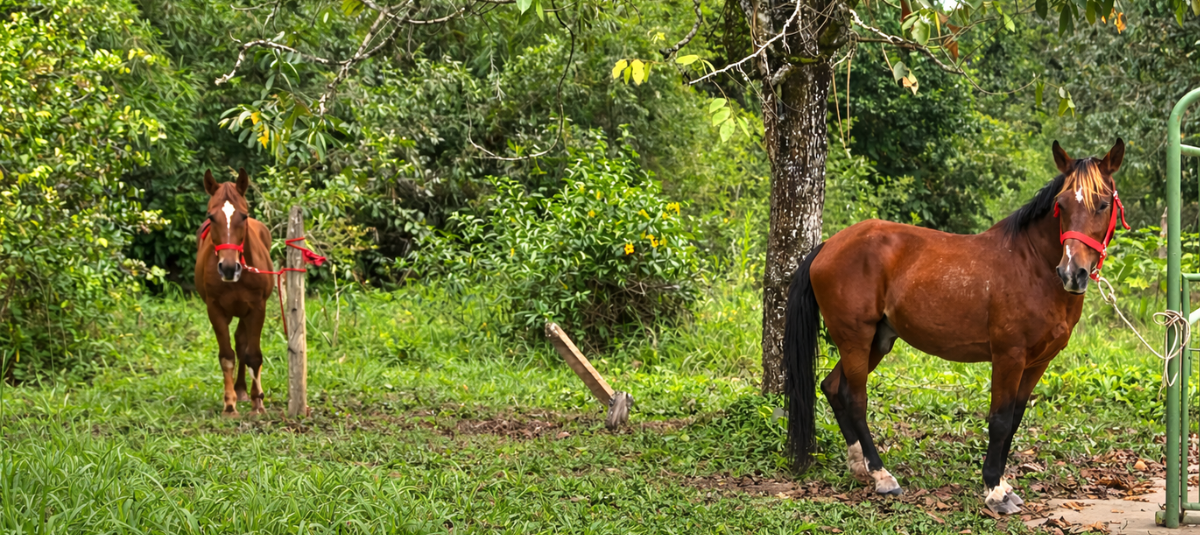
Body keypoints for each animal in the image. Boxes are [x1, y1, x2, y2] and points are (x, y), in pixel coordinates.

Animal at [195, 168, 274, 416]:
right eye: (211, 217)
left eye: (244, 216)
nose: (229, 268)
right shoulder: (215, 310)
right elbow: (227, 356)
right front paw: (229, 404)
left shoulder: (257, 308)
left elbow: (253, 355)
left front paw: (258, 402)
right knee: (238, 345)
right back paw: (238, 391)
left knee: (243, 345)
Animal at [783, 139, 1128, 514]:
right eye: (1060, 205)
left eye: (1103, 204)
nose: (1071, 272)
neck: (1031, 265)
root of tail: (828, 246)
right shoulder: (1008, 357)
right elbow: (1000, 420)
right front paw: (994, 489)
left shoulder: (1038, 362)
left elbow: (1015, 419)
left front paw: (1003, 483)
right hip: (855, 337)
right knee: (855, 398)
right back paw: (882, 476)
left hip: (877, 340)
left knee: (832, 387)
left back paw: (859, 465)